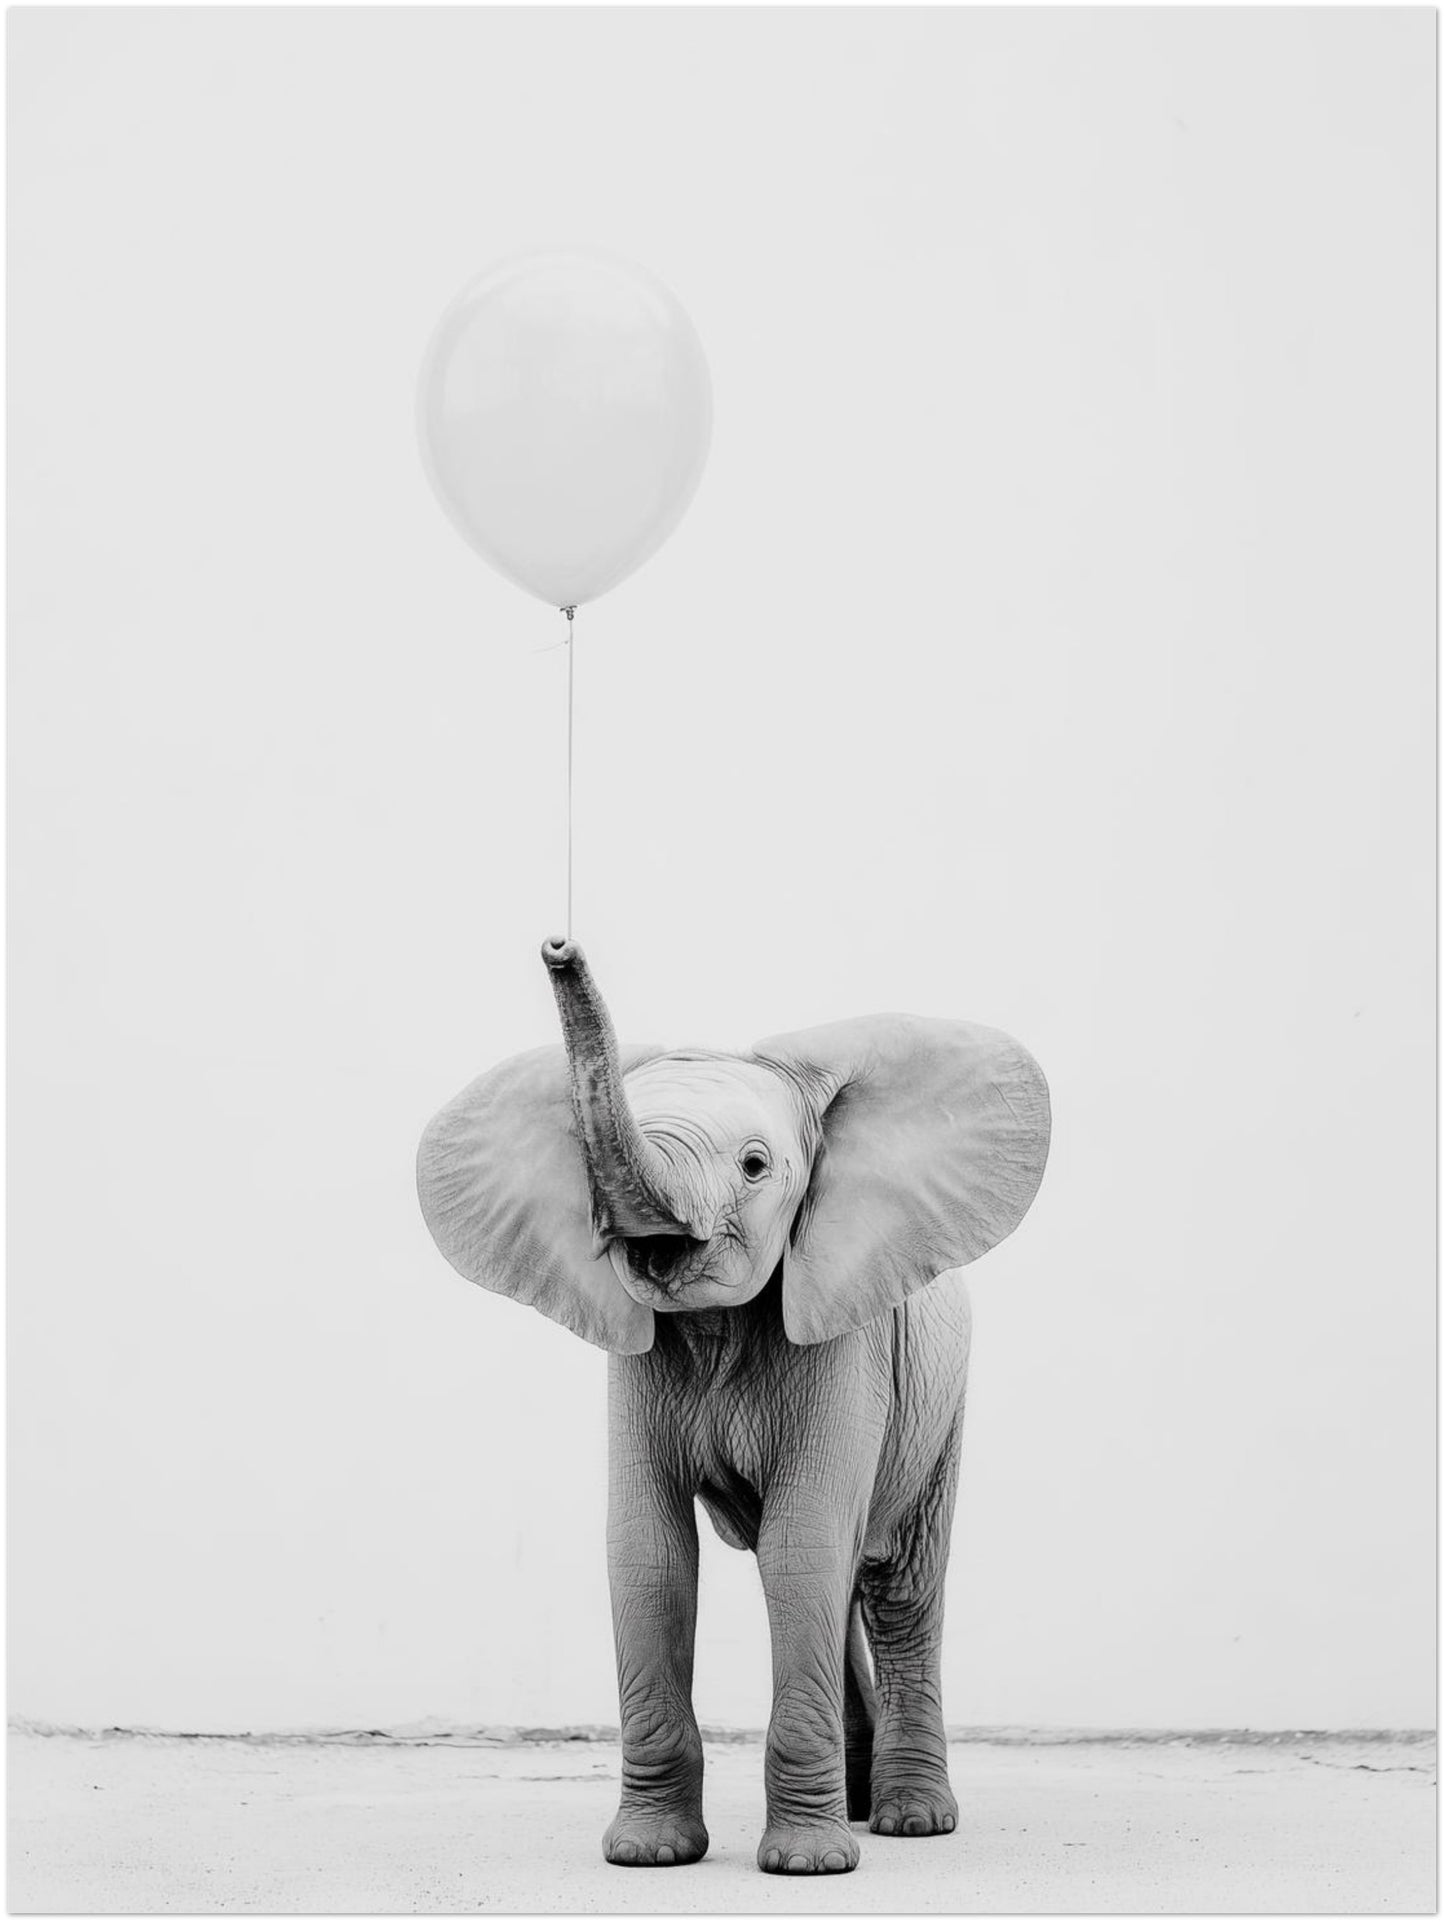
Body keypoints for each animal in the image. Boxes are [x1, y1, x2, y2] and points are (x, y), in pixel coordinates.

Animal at [416, 938, 1050, 1875]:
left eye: (755, 1166)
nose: (558, 946)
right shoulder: (636, 1358)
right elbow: (649, 1552)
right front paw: (648, 1855)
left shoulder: (843, 1341)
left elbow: (801, 1545)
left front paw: (806, 1867)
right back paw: (861, 1807)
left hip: (943, 1401)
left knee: (894, 1582)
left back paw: (910, 1821)